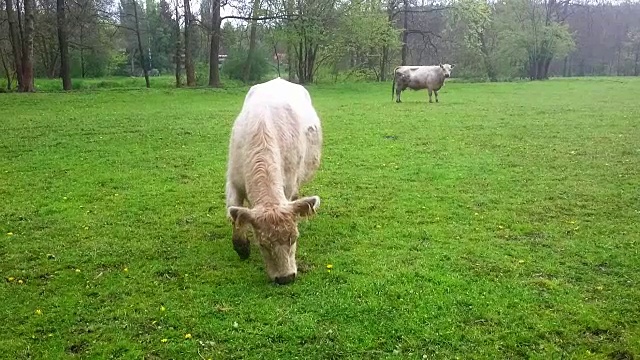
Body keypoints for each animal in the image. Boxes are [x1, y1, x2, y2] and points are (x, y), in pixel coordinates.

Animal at [226, 77, 324, 286]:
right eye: (262, 244)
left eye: (294, 238)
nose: (285, 278)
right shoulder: (233, 182)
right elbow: (235, 215)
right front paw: (242, 248)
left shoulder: (288, 185)